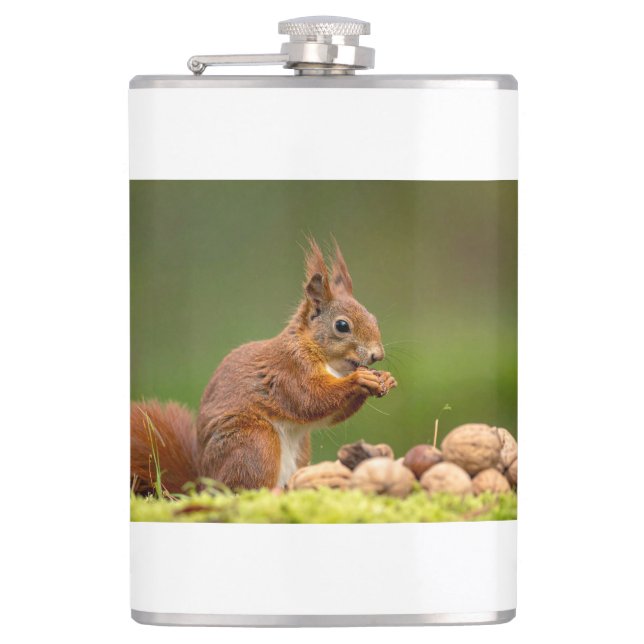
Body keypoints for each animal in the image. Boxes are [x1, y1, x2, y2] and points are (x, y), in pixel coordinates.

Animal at [131, 239, 396, 494]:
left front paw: (386, 379)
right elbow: (310, 398)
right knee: (243, 488)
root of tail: (205, 484)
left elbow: (329, 414)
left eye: (374, 318)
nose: (378, 354)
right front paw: (360, 380)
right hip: (254, 441)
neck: (329, 362)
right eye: (342, 326)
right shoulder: (288, 370)